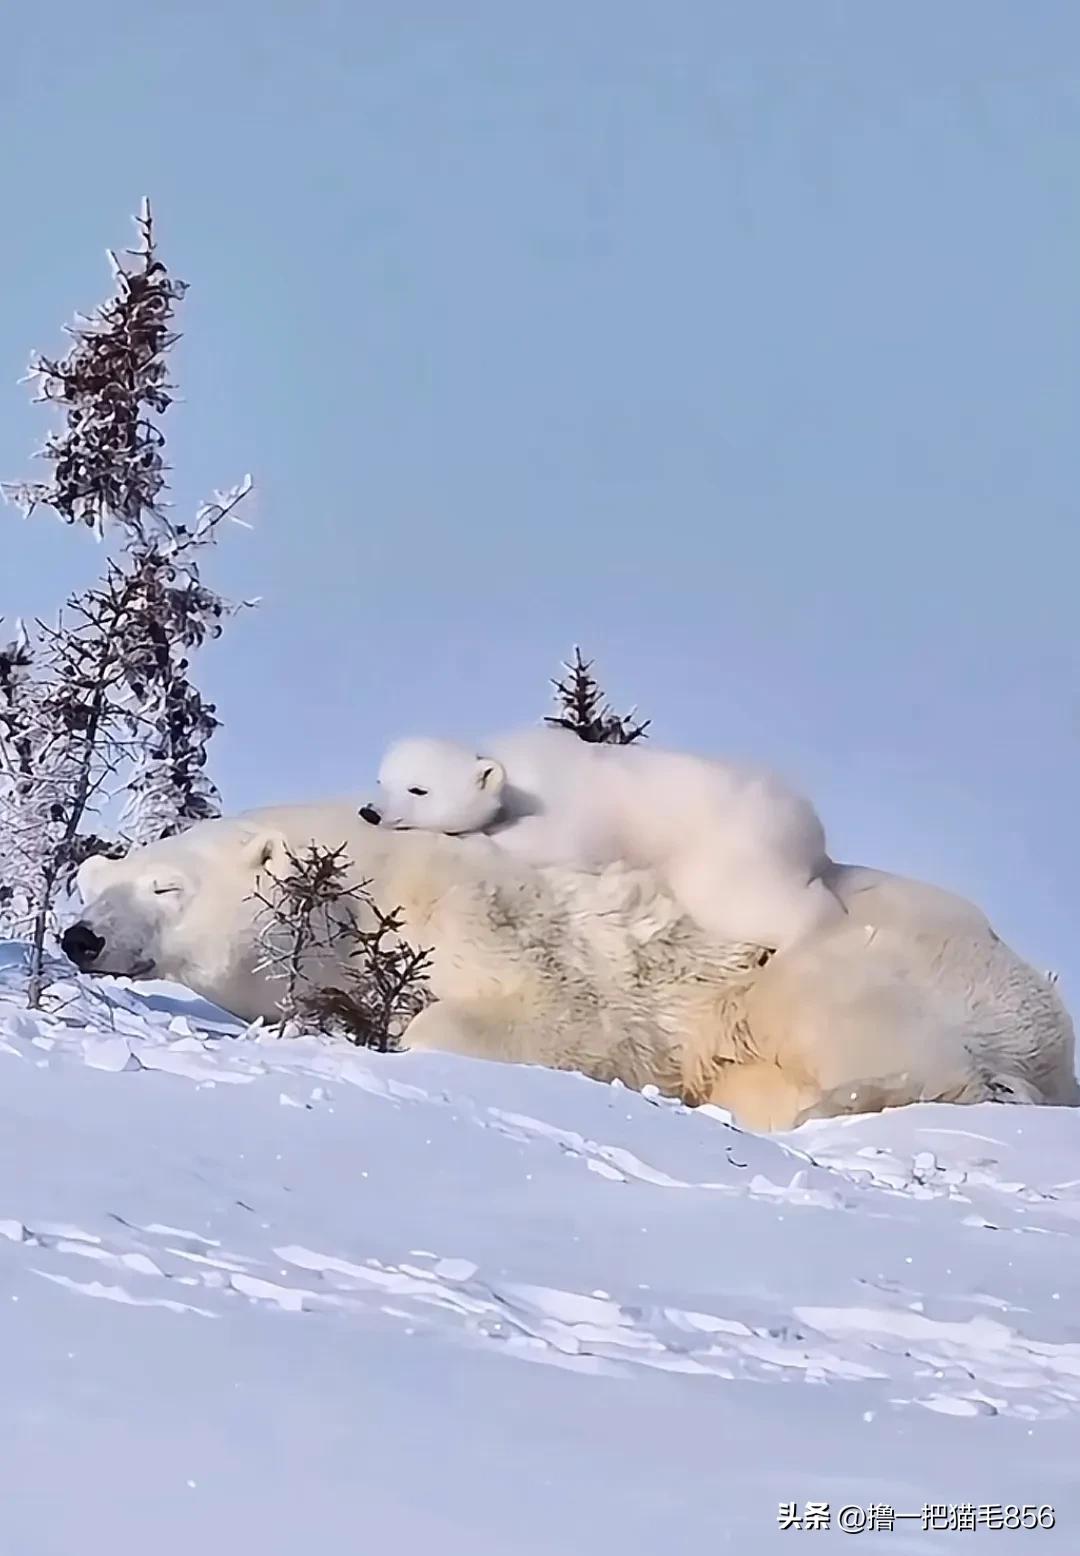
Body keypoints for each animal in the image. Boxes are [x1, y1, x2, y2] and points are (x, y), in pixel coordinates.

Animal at [63, 802, 1076, 1132]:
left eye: (166, 886)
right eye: (95, 889)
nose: (81, 939)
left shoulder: (497, 928)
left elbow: (552, 1015)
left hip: (872, 958)